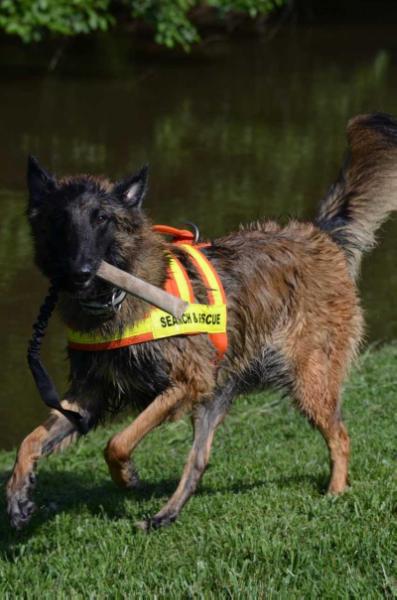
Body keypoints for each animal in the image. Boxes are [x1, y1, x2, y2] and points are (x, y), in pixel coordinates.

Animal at [5, 112, 396, 528]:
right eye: (59, 221)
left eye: (103, 219)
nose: (79, 272)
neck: (119, 296)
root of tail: (319, 233)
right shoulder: (90, 394)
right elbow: (31, 440)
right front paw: (18, 493)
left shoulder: (186, 382)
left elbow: (117, 442)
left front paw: (127, 477)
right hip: (217, 397)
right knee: (199, 460)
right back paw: (166, 514)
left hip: (307, 381)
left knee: (340, 435)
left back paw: (336, 491)